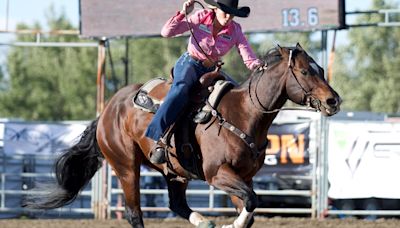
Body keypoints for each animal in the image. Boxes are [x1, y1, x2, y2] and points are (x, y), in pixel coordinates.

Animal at [24, 43, 340, 227]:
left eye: (321, 69)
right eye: (304, 71)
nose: (333, 100)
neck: (242, 114)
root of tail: (107, 111)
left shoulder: (243, 177)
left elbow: (250, 206)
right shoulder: (217, 174)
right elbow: (251, 203)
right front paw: (231, 224)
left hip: (174, 172)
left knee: (176, 203)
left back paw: (203, 221)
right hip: (125, 166)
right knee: (134, 213)